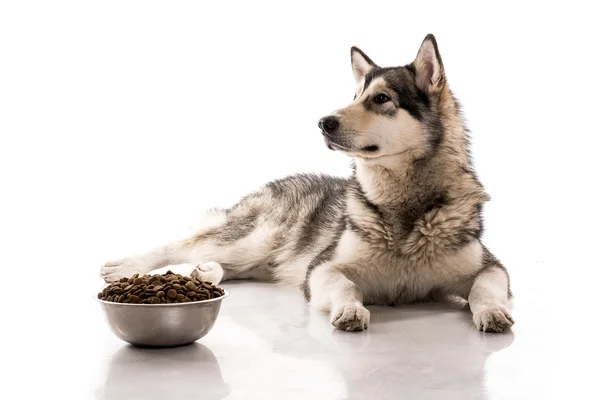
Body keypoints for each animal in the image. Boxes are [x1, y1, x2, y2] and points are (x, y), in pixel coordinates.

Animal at [101, 34, 512, 332]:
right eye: (355, 96)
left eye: (381, 99)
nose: (323, 122)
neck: (404, 211)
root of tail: (282, 181)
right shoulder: (323, 268)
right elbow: (345, 284)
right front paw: (351, 309)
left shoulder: (492, 267)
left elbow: (486, 287)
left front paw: (491, 311)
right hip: (251, 239)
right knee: (182, 245)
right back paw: (125, 265)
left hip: (257, 258)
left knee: (221, 263)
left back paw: (207, 273)